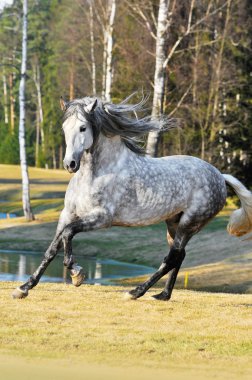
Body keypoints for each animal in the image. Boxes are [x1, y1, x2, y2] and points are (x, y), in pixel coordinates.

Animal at [12, 96, 252, 302]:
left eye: (82, 128)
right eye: (64, 128)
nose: (69, 164)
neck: (97, 173)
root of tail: (219, 176)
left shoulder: (102, 218)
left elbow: (68, 234)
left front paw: (76, 274)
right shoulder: (67, 214)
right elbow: (52, 249)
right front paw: (24, 288)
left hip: (190, 223)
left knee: (172, 258)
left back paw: (136, 292)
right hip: (174, 224)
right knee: (180, 255)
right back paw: (162, 295)